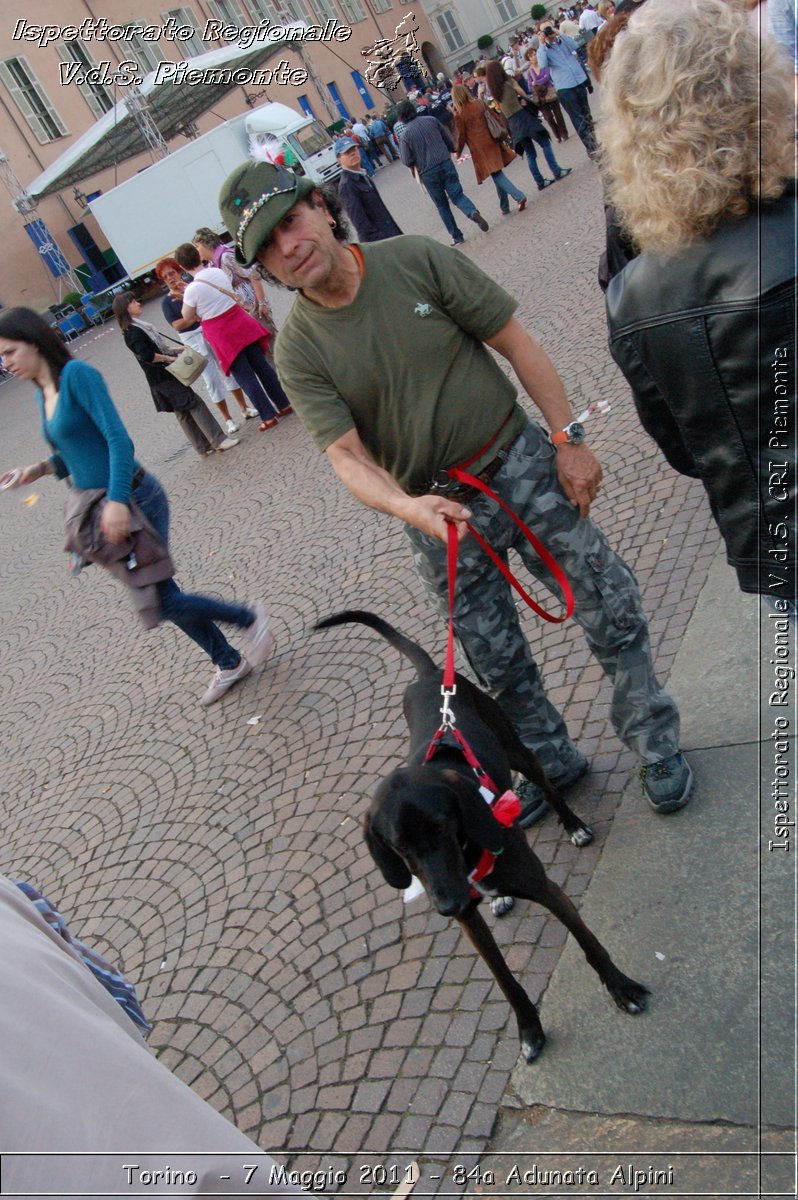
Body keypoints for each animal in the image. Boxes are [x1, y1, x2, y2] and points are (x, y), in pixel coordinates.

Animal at [316, 609, 648, 1060]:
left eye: (442, 827)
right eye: (399, 847)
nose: (448, 905)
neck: (468, 854)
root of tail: (432, 675)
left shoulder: (548, 891)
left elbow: (590, 944)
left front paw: (621, 987)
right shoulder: (470, 925)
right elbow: (506, 982)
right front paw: (529, 1030)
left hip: (514, 746)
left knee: (546, 781)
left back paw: (573, 825)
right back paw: (501, 897)